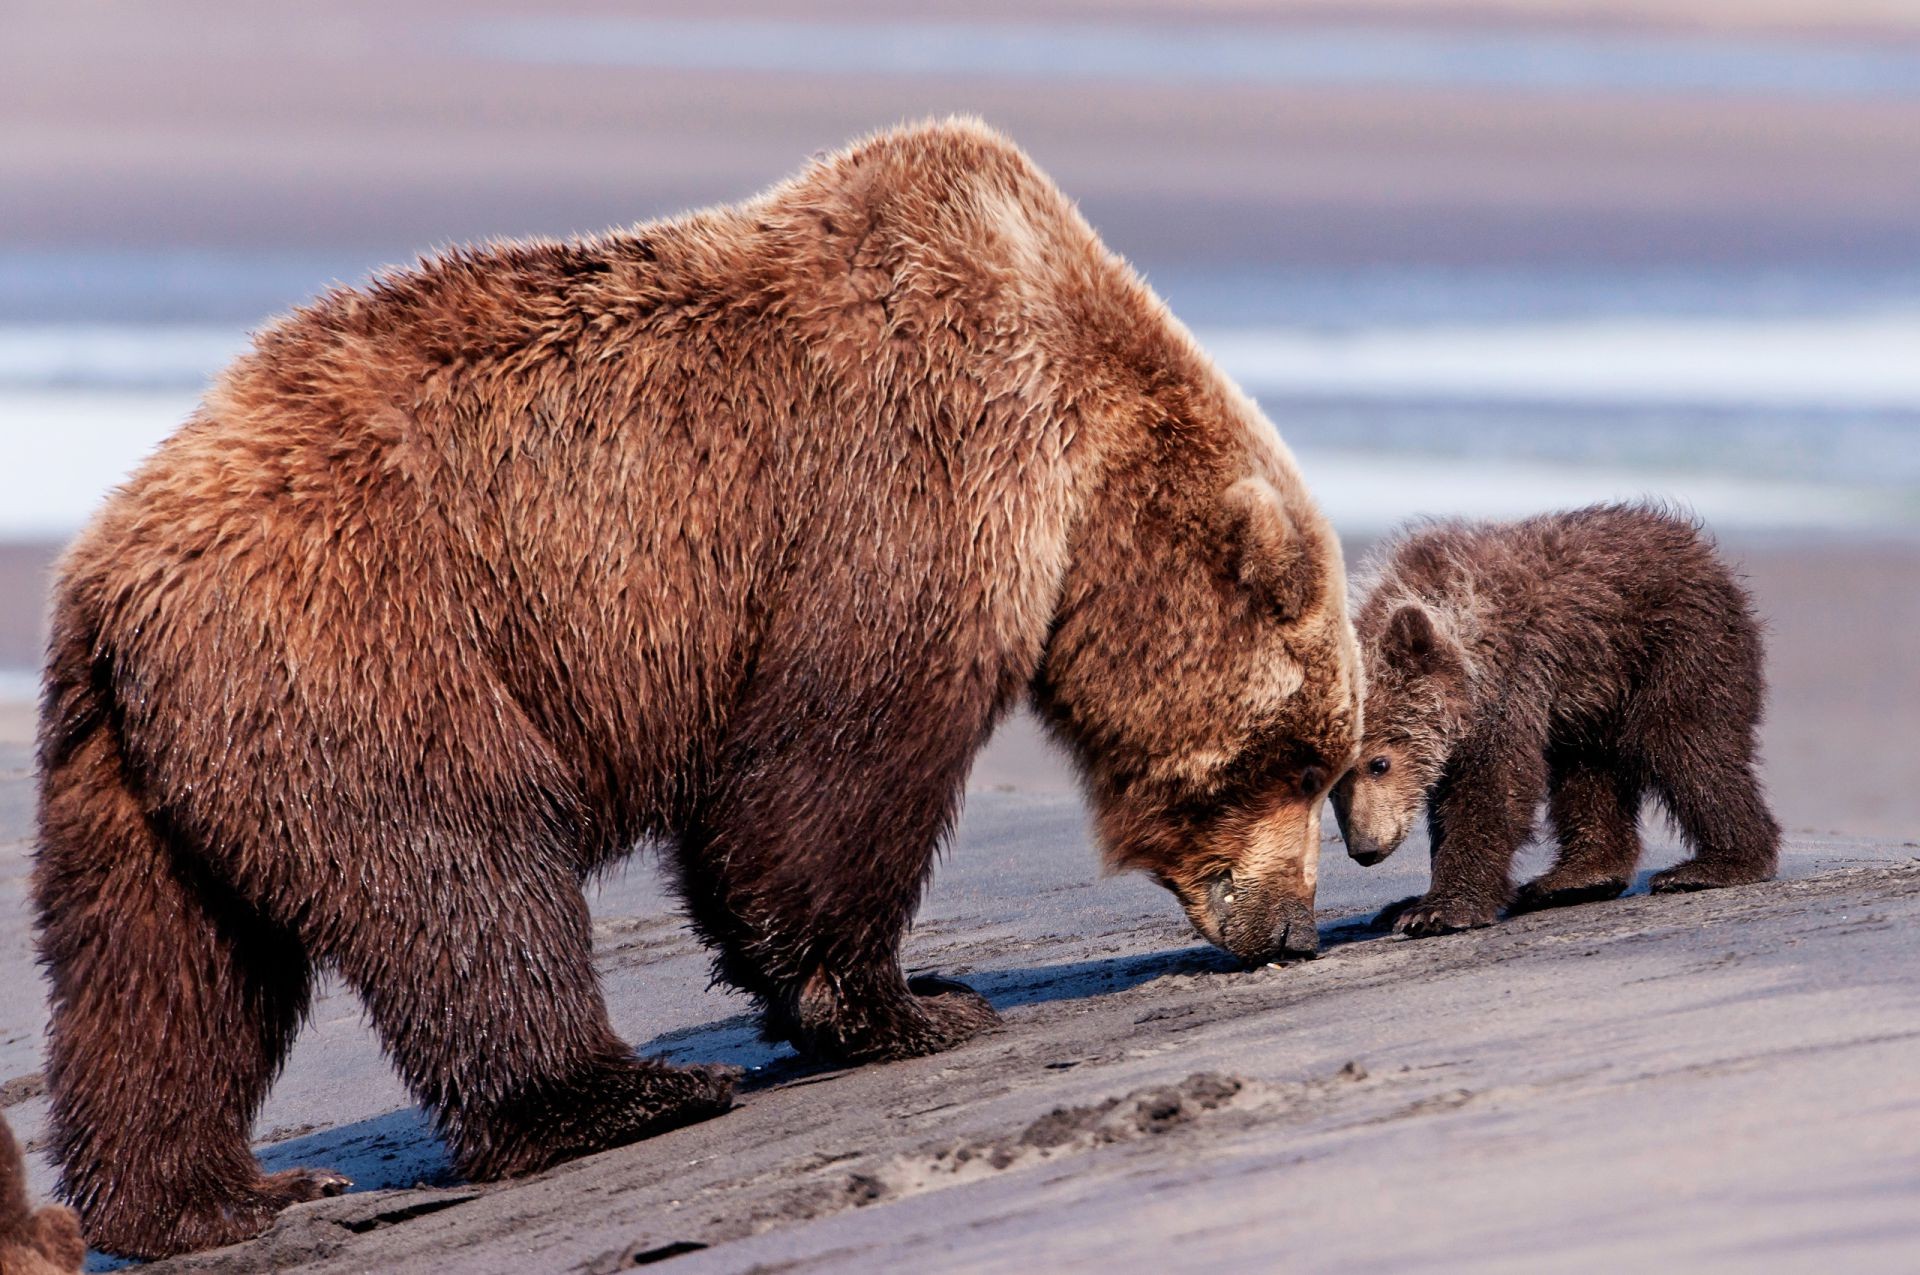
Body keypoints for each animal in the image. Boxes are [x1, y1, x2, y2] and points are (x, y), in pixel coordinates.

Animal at [26, 117, 1351, 1251]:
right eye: (1300, 760)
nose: (1289, 927)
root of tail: (108, 572)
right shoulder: (911, 471)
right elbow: (831, 767)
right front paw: (911, 1003)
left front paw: (896, 987)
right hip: (373, 637)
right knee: (465, 865)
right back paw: (624, 1092)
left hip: (142, 762)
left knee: (164, 974)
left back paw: (220, 1197)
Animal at [1328, 506, 1774, 937]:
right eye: (1332, 787)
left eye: (1379, 763)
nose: (1365, 849)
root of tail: (1696, 546)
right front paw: (1406, 903)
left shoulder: (1508, 679)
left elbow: (1494, 785)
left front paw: (1438, 909)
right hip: (1595, 694)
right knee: (1589, 773)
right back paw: (1572, 878)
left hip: (1677, 643)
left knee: (1686, 744)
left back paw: (1718, 864)